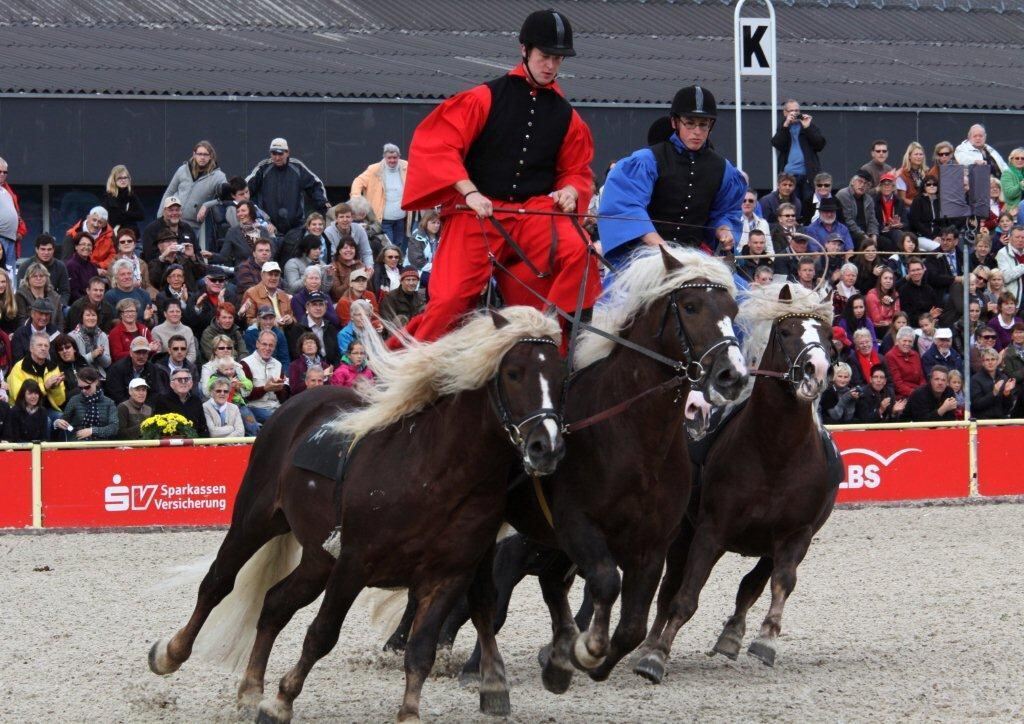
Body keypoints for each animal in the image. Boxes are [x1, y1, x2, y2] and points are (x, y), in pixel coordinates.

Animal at [147, 307, 569, 724]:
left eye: (560, 375)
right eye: (513, 373)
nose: (545, 447)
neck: (433, 474)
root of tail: (298, 404)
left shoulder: (448, 576)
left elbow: (421, 650)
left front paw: (409, 713)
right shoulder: (354, 563)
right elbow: (322, 634)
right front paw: (281, 702)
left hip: (318, 558)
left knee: (275, 603)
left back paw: (251, 691)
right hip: (257, 519)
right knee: (217, 583)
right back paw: (171, 654)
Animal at [499, 246, 749, 692]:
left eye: (733, 309)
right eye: (690, 306)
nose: (732, 375)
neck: (636, 438)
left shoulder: (652, 545)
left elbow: (632, 626)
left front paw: (589, 660)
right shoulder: (577, 525)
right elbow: (604, 582)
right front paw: (586, 650)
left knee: (551, 585)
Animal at [630, 284, 839, 684]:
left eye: (829, 337)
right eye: (785, 332)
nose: (816, 370)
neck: (776, 453)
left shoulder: (796, 536)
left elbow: (779, 584)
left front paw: (766, 639)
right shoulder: (710, 532)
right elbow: (684, 596)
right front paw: (656, 656)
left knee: (751, 585)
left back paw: (732, 634)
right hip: (683, 535)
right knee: (670, 588)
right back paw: (649, 645)